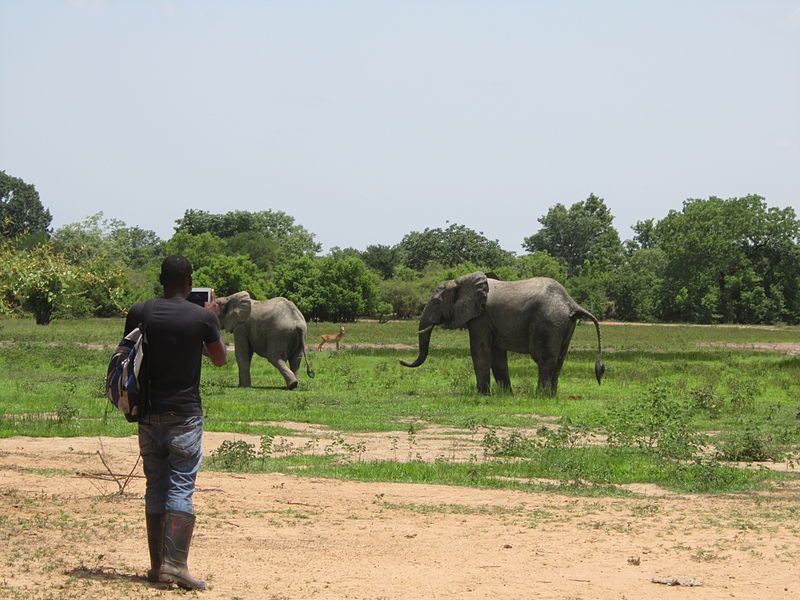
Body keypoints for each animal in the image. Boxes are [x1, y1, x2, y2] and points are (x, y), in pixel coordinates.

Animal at [400, 270, 608, 394]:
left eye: (436, 302)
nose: (401, 361)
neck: (462, 280)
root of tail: (571, 303)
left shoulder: (480, 317)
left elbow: (479, 350)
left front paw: (483, 395)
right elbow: (497, 355)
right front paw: (505, 395)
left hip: (549, 322)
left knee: (544, 359)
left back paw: (540, 396)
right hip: (565, 324)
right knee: (559, 360)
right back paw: (551, 396)